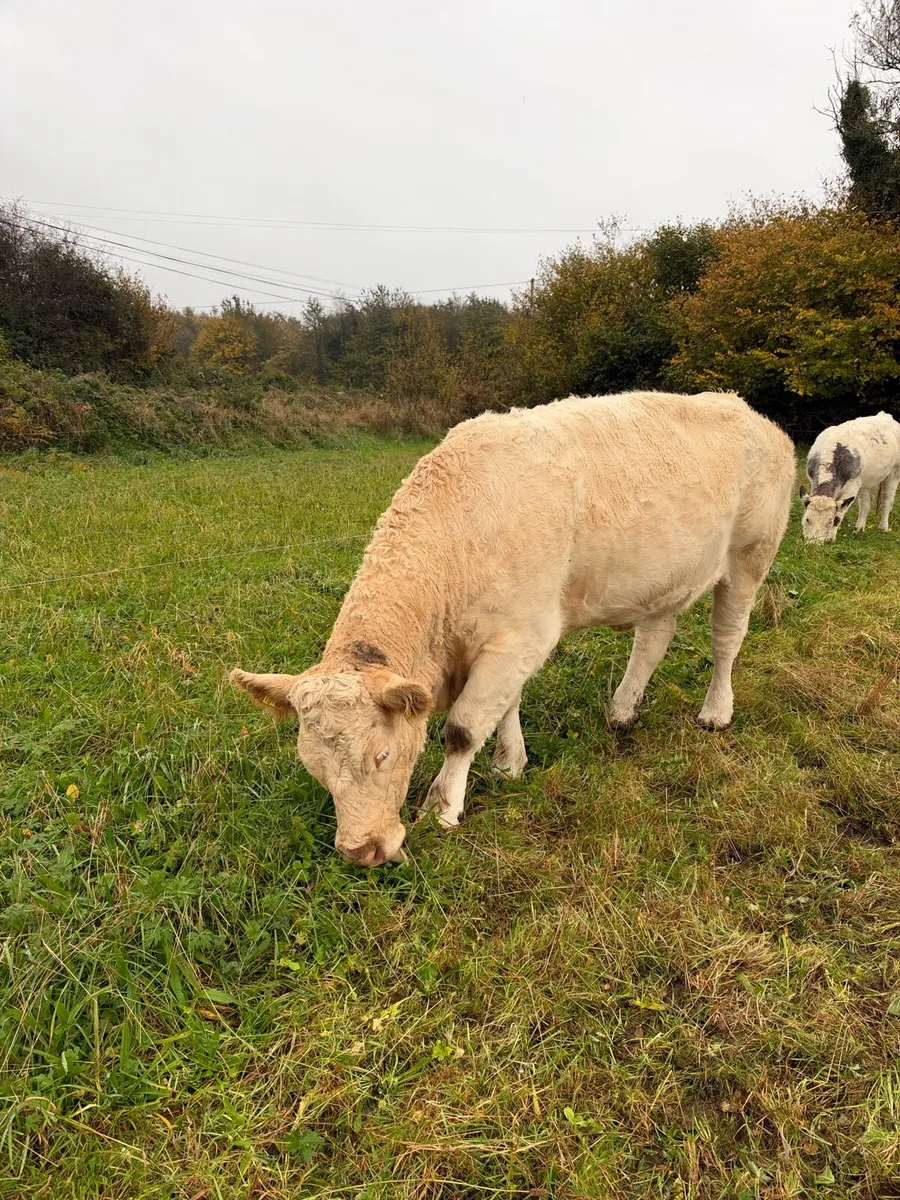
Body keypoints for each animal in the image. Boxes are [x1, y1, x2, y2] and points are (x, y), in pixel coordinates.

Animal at [231, 391, 795, 866]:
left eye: (382, 754)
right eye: (312, 765)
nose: (361, 851)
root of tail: (755, 415)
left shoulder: (522, 633)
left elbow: (463, 727)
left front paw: (442, 806)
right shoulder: (507, 641)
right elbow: (505, 704)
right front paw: (509, 763)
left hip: (751, 556)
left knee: (727, 639)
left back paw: (716, 712)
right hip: (663, 577)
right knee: (654, 639)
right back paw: (622, 710)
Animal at [800, 412, 900, 543]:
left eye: (829, 522)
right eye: (807, 519)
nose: (813, 543)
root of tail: (885, 415)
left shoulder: (851, 489)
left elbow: (838, 516)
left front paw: (831, 538)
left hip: (894, 473)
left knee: (887, 502)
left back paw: (883, 528)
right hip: (864, 481)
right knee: (865, 505)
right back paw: (858, 529)